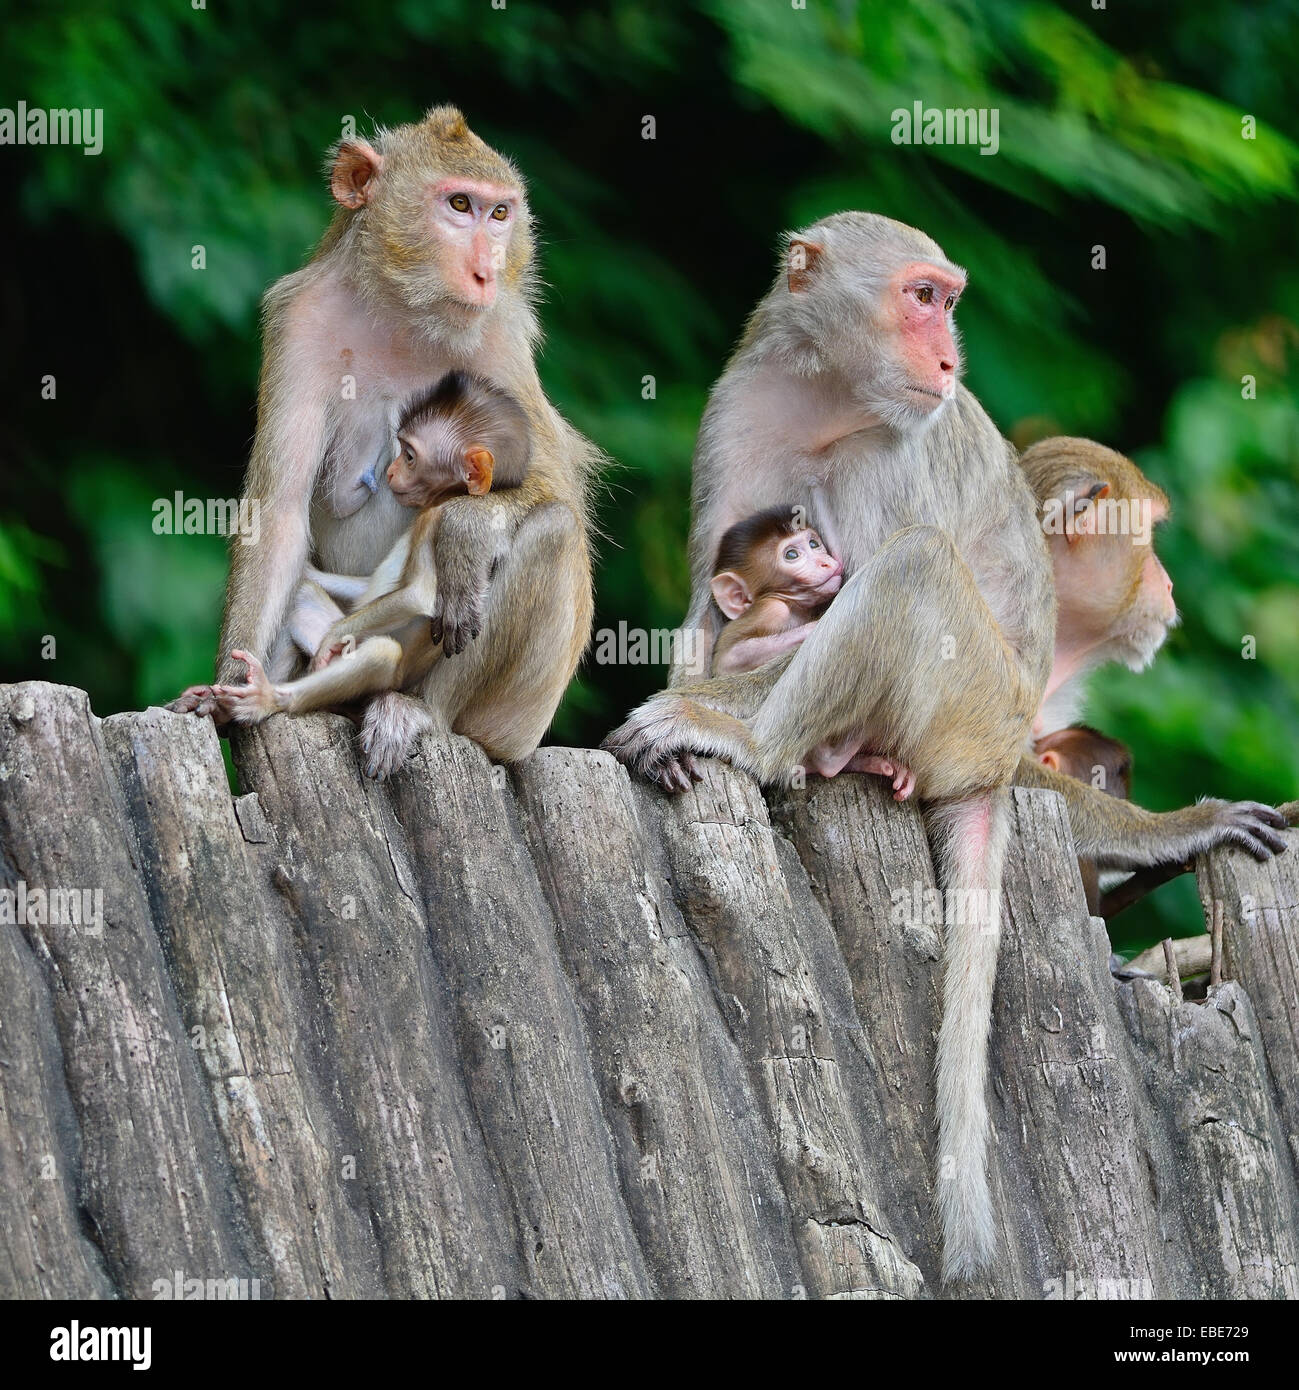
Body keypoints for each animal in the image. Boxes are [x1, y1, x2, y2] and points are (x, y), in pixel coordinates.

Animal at [215, 372, 530, 717]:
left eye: (409, 456)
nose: (389, 471)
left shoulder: (435, 519)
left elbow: (418, 595)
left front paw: (334, 636)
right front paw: (309, 571)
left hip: (388, 675)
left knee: (380, 652)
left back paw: (270, 697)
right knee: (303, 595)